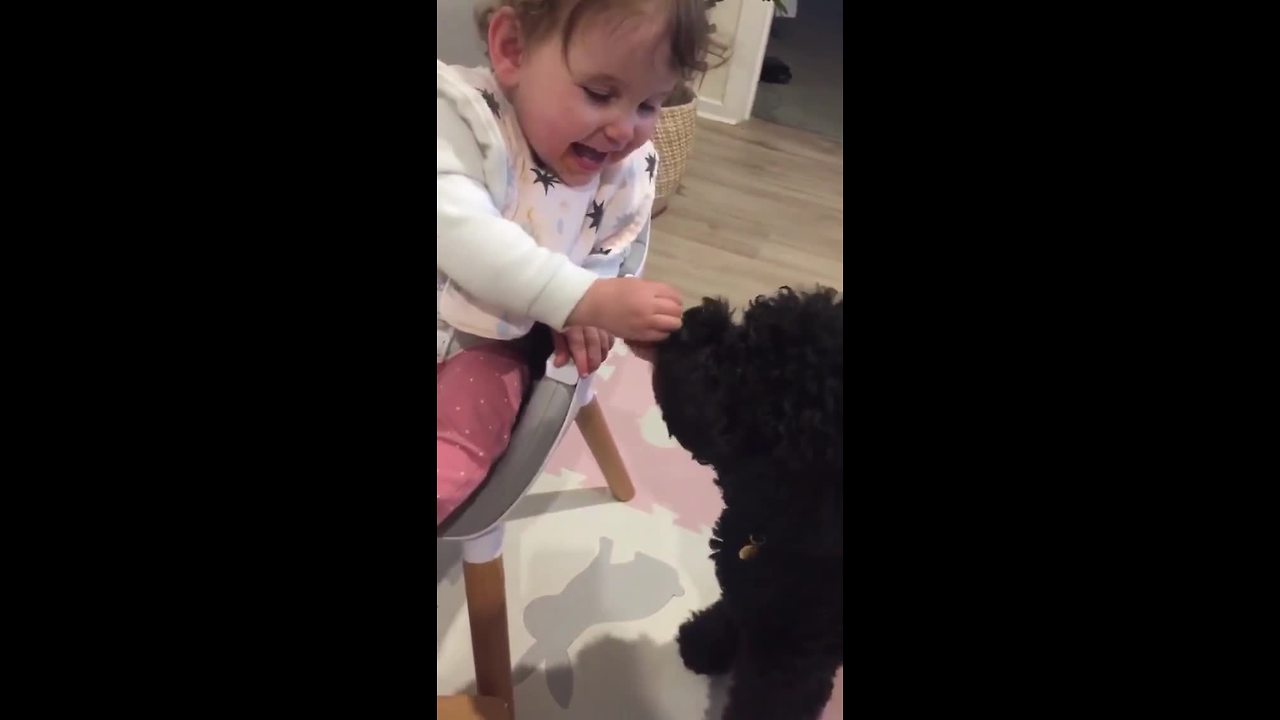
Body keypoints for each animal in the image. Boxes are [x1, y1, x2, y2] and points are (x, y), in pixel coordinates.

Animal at [650, 284, 839, 717]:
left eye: (745, 374)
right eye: (749, 329)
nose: (689, 321)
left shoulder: (794, 659)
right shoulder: (745, 591)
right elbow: (730, 612)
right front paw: (702, 643)